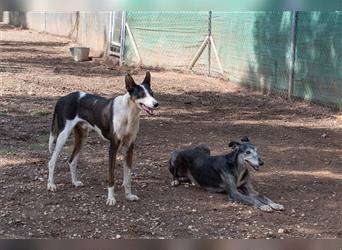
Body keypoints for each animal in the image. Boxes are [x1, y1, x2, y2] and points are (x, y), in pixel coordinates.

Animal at [47, 72, 158, 205]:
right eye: (142, 94)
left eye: (152, 93)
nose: (156, 104)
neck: (128, 113)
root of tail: (63, 98)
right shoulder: (113, 146)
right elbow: (111, 177)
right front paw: (111, 199)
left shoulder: (129, 146)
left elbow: (128, 177)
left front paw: (129, 195)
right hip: (62, 136)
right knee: (52, 162)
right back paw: (51, 185)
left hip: (82, 137)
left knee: (72, 160)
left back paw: (74, 182)